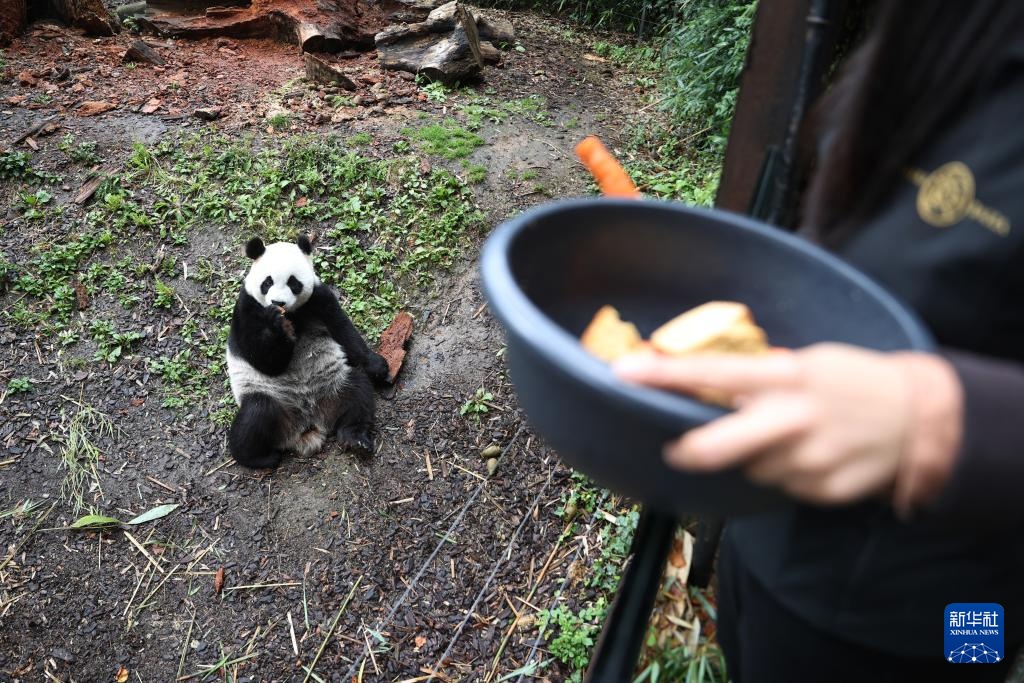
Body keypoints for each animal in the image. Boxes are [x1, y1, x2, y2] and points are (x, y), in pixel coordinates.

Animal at [226, 235, 389, 471]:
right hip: (270, 396)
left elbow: (344, 331)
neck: (292, 314)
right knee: (255, 416)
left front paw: (377, 367)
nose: (278, 302)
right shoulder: (247, 308)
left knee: (357, 392)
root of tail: (308, 423)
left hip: (335, 384)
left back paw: (355, 438)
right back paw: (259, 458)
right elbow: (264, 361)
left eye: (293, 282)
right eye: (267, 282)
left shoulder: (319, 298)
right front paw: (279, 328)